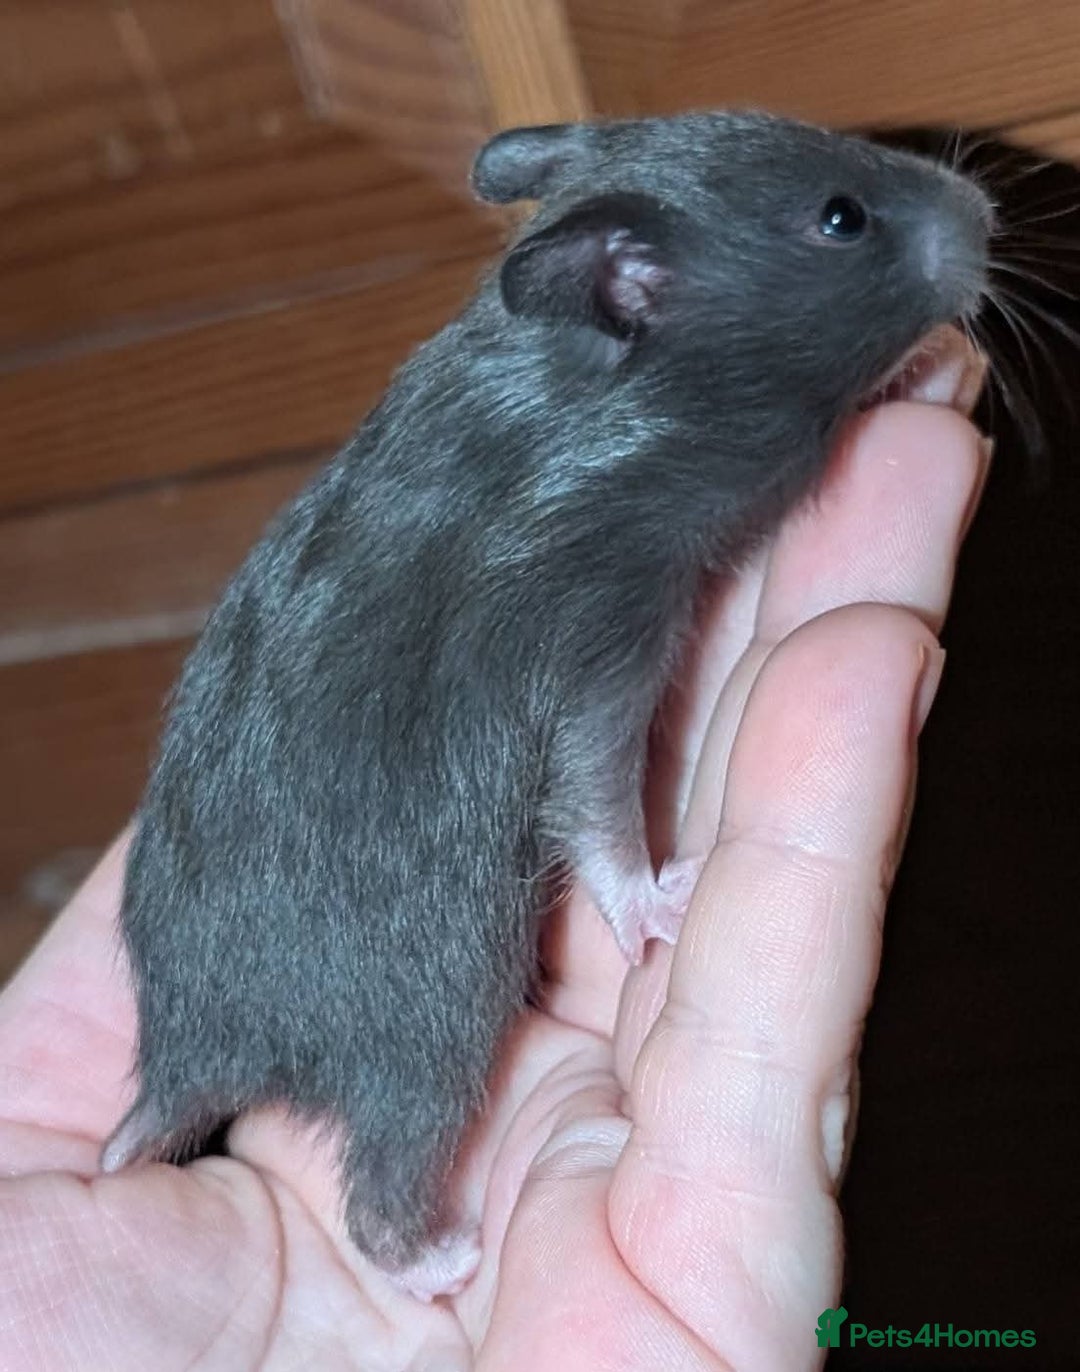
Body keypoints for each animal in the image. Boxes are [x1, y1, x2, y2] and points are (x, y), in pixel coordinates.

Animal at [101, 112, 990, 1298]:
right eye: (841, 219)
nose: (988, 210)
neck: (595, 382)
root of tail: (187, 1057)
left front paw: (932, 369)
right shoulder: (601, 635)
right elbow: (596, 798)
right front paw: (659, 903)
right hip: (429, 1015)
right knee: (378, 1187)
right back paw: (443, 1259)